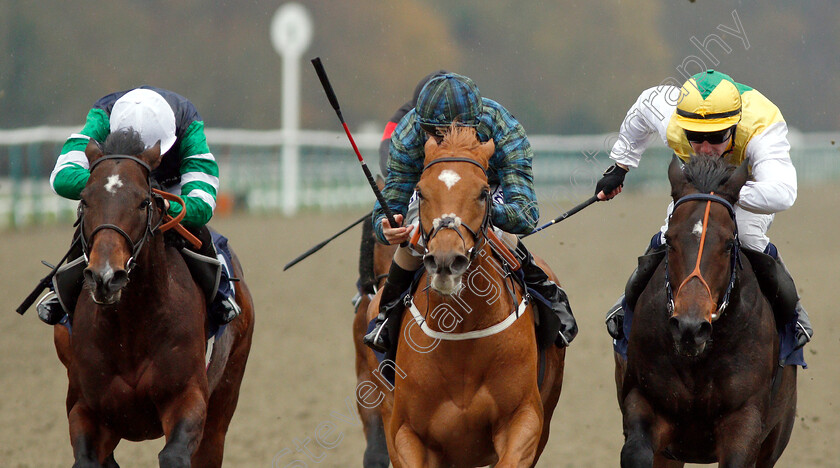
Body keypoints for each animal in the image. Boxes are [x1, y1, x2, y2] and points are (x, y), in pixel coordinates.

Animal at [53, 131, 254, 468]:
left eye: (143, 202)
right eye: (84, 200)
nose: (105, 277)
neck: (131, 326)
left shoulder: (188, 397)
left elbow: (173, 455)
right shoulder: (84, 407)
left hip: (225, 397)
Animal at [358, 125, 568, 468]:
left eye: (483, 192)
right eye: (420, 191)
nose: (446, 260)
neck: (461, 335)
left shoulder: (523, 419)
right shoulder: (405, 432)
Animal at [612, 155, 796, 466]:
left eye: (729, 243)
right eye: (670, 240)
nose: (690, 328)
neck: (699, 360)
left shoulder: (745, 419)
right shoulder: (644, 400)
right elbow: (636, 450)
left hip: (776, 434)